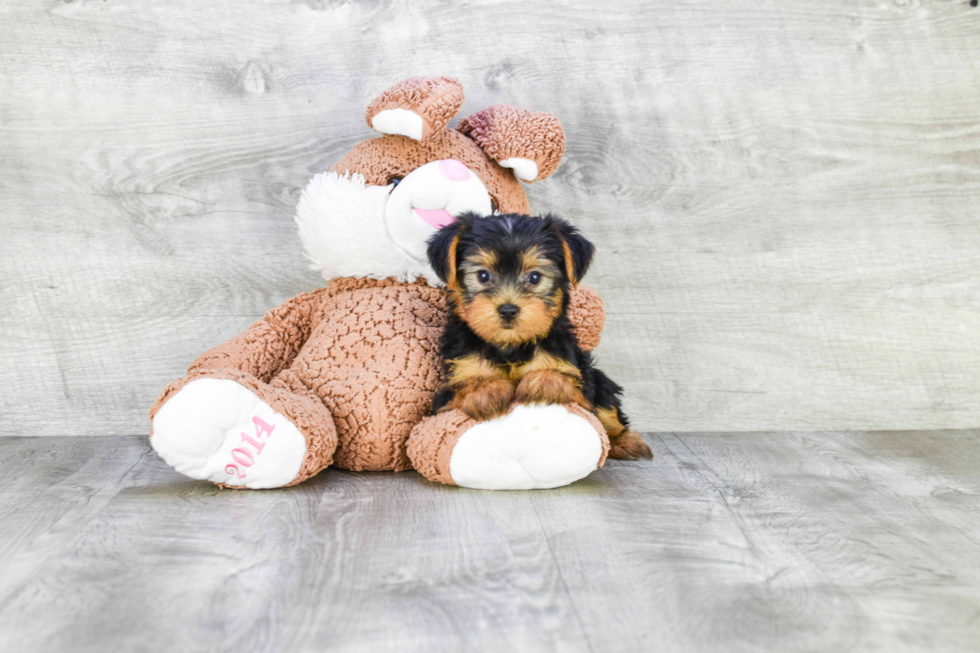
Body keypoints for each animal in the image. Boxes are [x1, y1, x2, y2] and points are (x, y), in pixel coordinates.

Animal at [426, 213, 652, 458]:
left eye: (535, 277)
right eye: (483, 276)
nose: (508, 309)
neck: (510, 345)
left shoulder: (575, 381)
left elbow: (566, 383)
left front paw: (543, 382)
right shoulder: (450, 389)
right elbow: (465, 385)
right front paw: (486, 390)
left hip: (599, 382)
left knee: (608, 412)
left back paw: (626, 442)